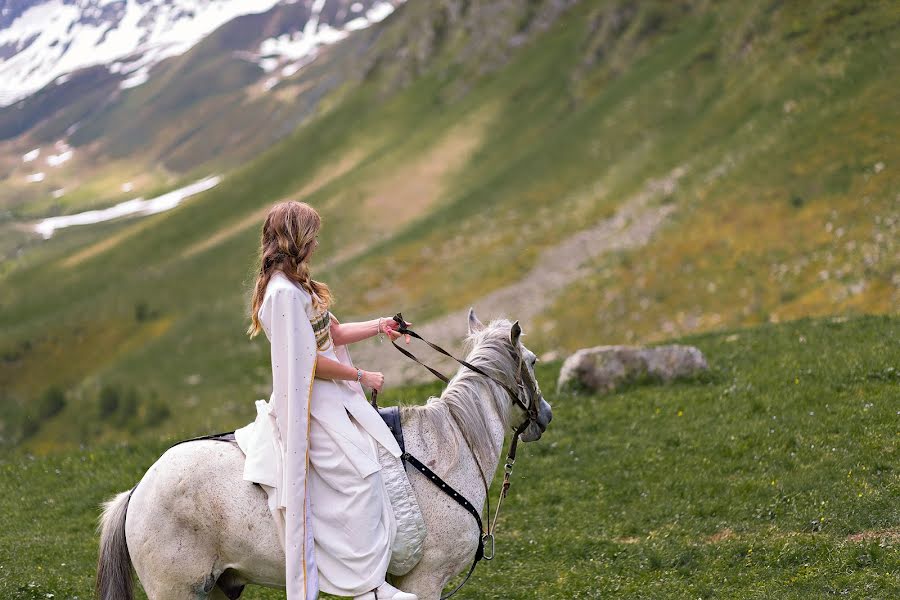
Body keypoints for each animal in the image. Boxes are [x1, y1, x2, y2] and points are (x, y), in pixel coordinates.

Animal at [96, 312, 548, 600]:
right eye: (532, 360)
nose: (544, 415)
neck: (449, 446)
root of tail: (136, 492)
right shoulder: (425, 580)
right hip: (179, 591)